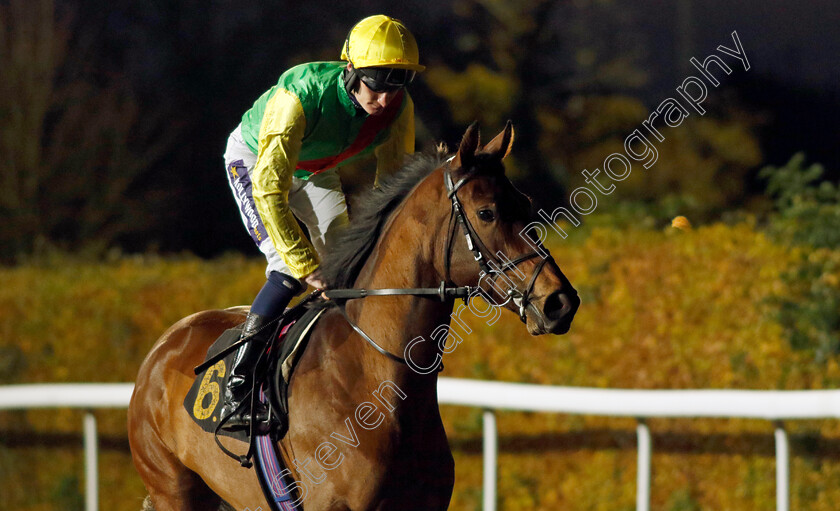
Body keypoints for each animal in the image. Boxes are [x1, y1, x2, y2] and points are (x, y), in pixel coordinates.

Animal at [128, 122, 580, 510]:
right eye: (487, 212)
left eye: (525, 204)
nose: (560, 302)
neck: (375, 379)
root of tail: (163, 345)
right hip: (172, 488)